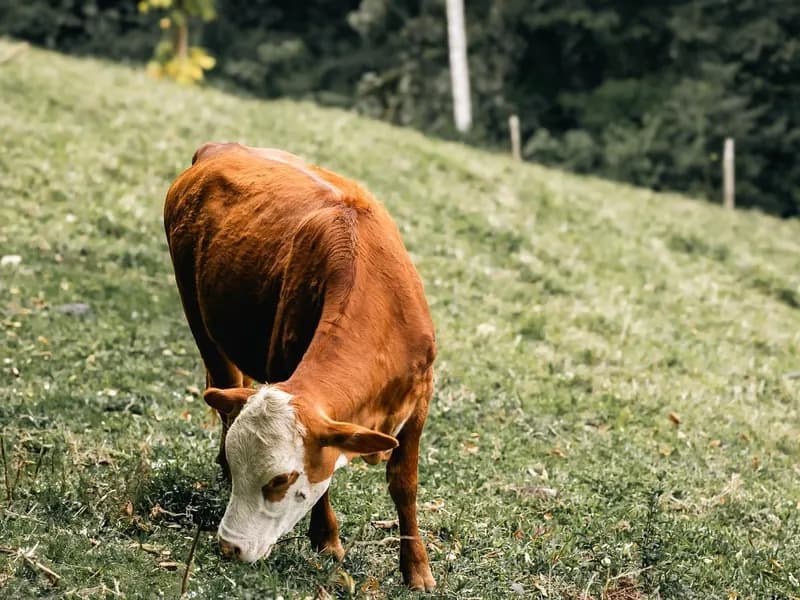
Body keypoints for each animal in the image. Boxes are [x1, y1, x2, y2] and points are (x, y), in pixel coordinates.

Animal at [163, 142, 437, 591]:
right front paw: (326, 539)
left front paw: (417, 568)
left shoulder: (419, 401)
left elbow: (405, 485)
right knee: (224, 385)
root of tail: (220, 149)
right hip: (196, 312)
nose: (229, 547)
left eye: (280, 480)